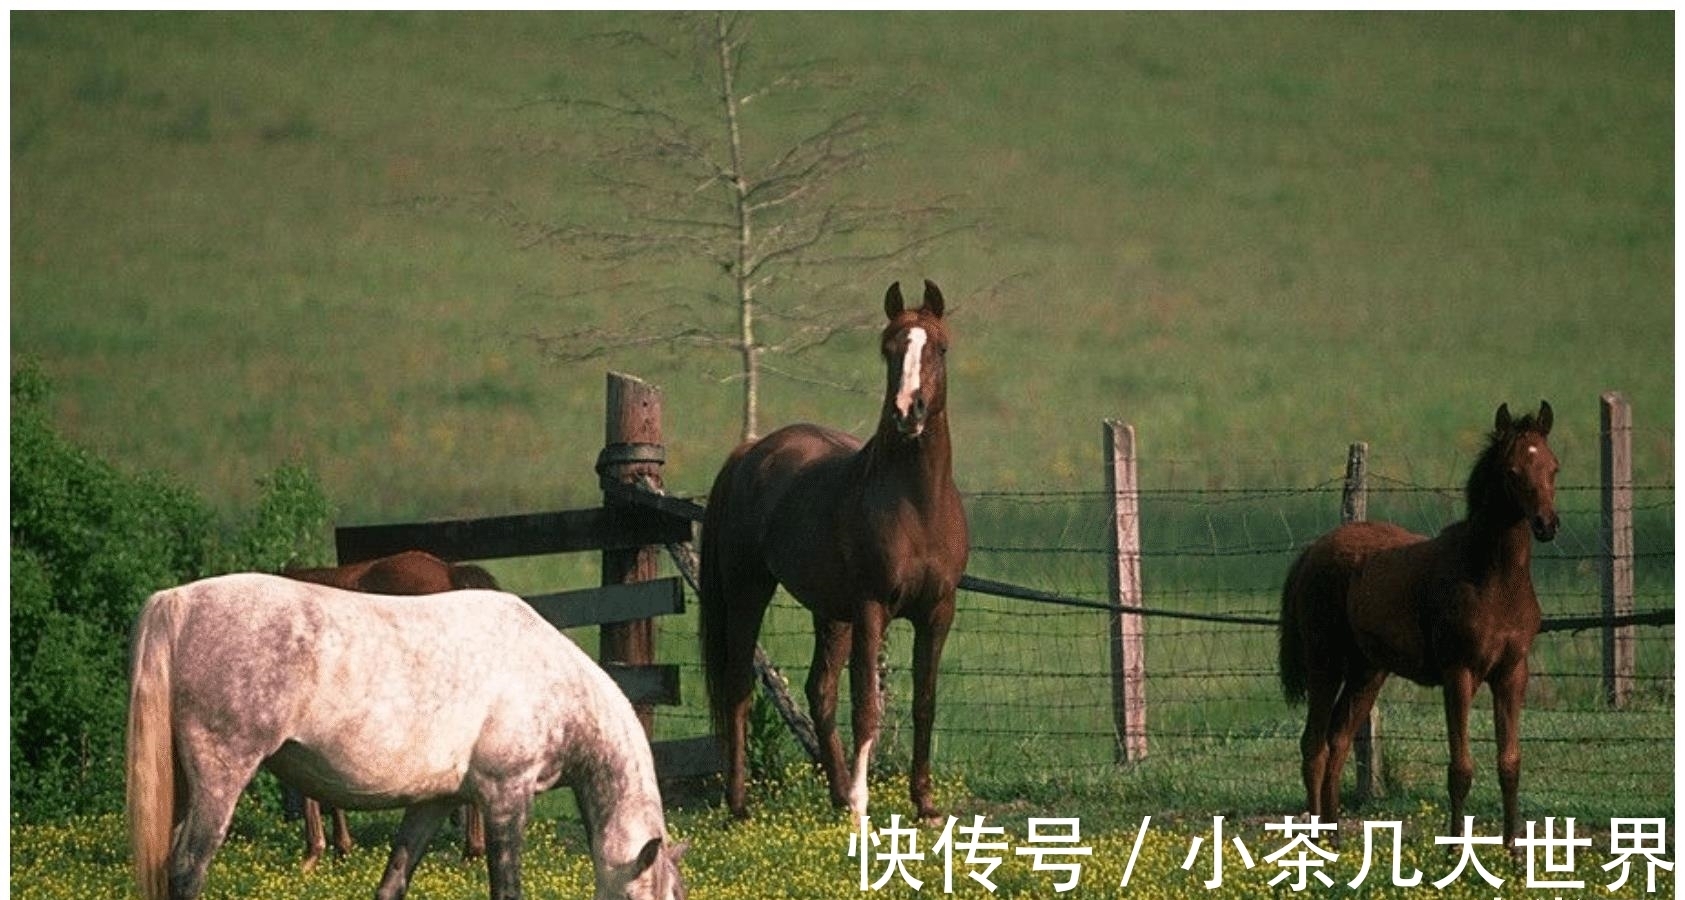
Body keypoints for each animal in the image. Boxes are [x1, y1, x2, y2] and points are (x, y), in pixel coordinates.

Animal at [697, 279, 970, 825]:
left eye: (940, 348)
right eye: (888, 349)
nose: (907, 412)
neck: (918, 505)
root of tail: (750, 453)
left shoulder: (937, 612)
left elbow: (925, 703)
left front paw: (924, 804)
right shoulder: (871, 609)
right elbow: (866, 706)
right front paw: (864, 807)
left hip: (830, 612)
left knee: (818, 692)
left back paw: (838, 793)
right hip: (748, 592)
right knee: (738, 686)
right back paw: (741, 804)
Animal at [1280, 404, 1556, 852]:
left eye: (1553, 467)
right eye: (1512, 471)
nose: (1547, 524)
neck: (1491, 578)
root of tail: (1312, 551)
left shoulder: (1512, 674)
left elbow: (1510, 763)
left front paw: (1513, 852)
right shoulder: (1458, 674)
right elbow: (1460, 767)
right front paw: (1455, 851)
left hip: (1367, 672)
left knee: (1338, 740)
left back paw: (1335, 836)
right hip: (1325, 664)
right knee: (1314, 744)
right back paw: (1314, 843)